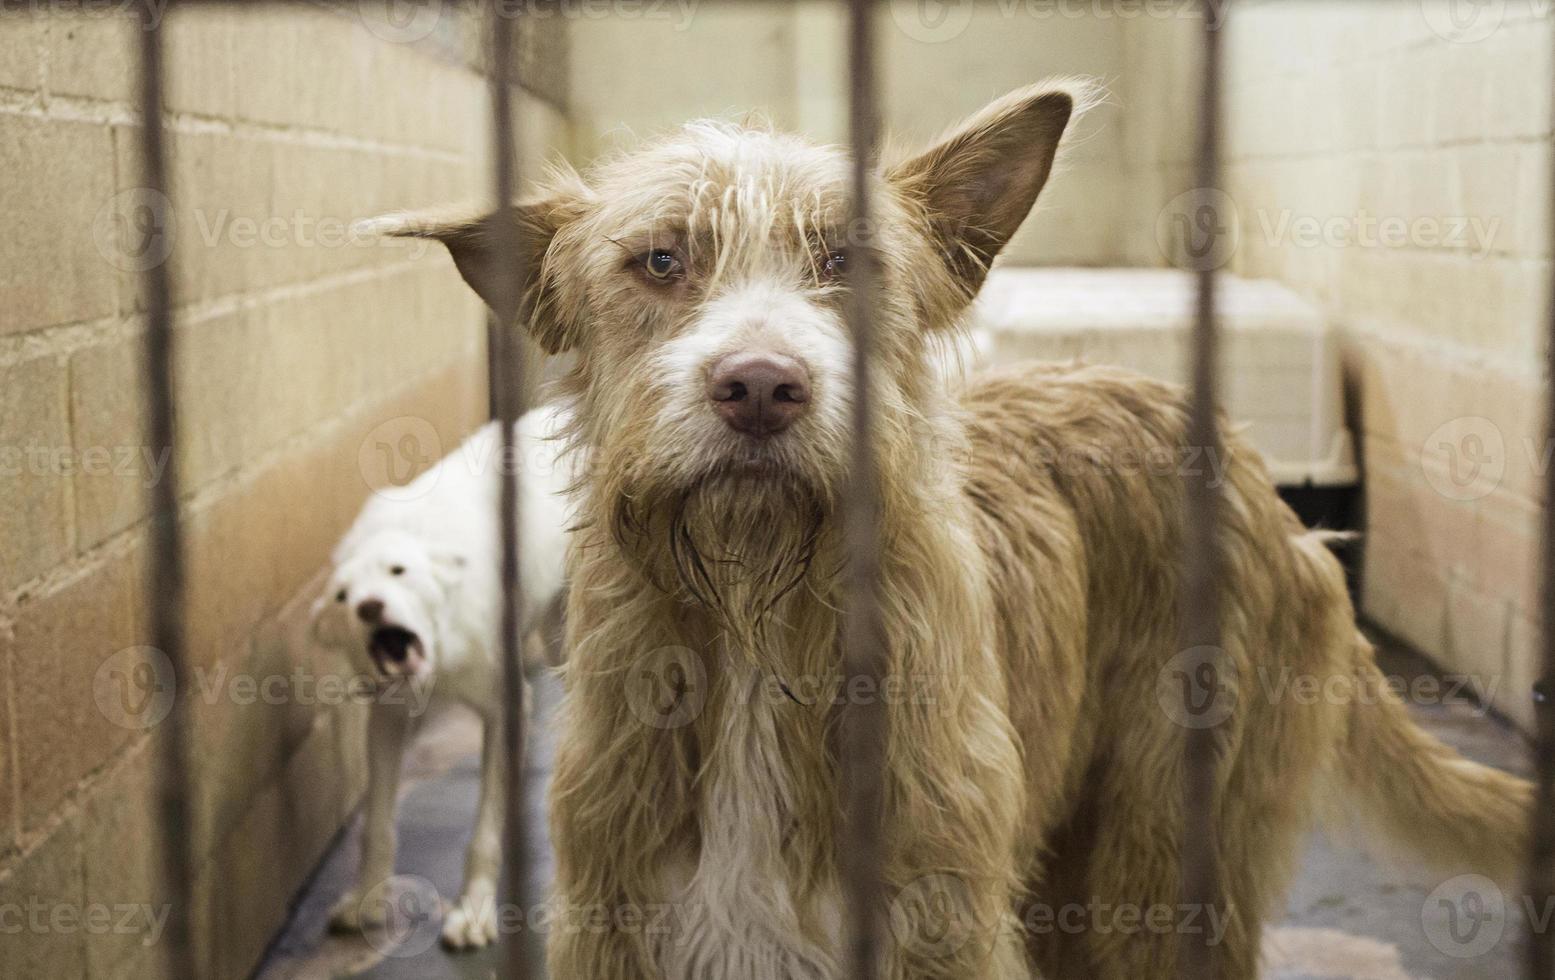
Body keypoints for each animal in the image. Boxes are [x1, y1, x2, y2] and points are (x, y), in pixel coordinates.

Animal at [309, 404, 578, 952]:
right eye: (344, 597)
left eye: (398, 572)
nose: (370, 607)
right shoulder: (385, 717)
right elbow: (376, 823)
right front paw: (366, 897)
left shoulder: (505, 708)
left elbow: (485, 831)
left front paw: (473, 912)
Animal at [379, 84, 1530, 980]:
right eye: (660, 262)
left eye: (849, 260)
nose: (761, 387)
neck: (759, 620)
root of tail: (1256, 475)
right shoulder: (618, 916)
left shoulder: (942, 923)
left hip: (1155, 871)